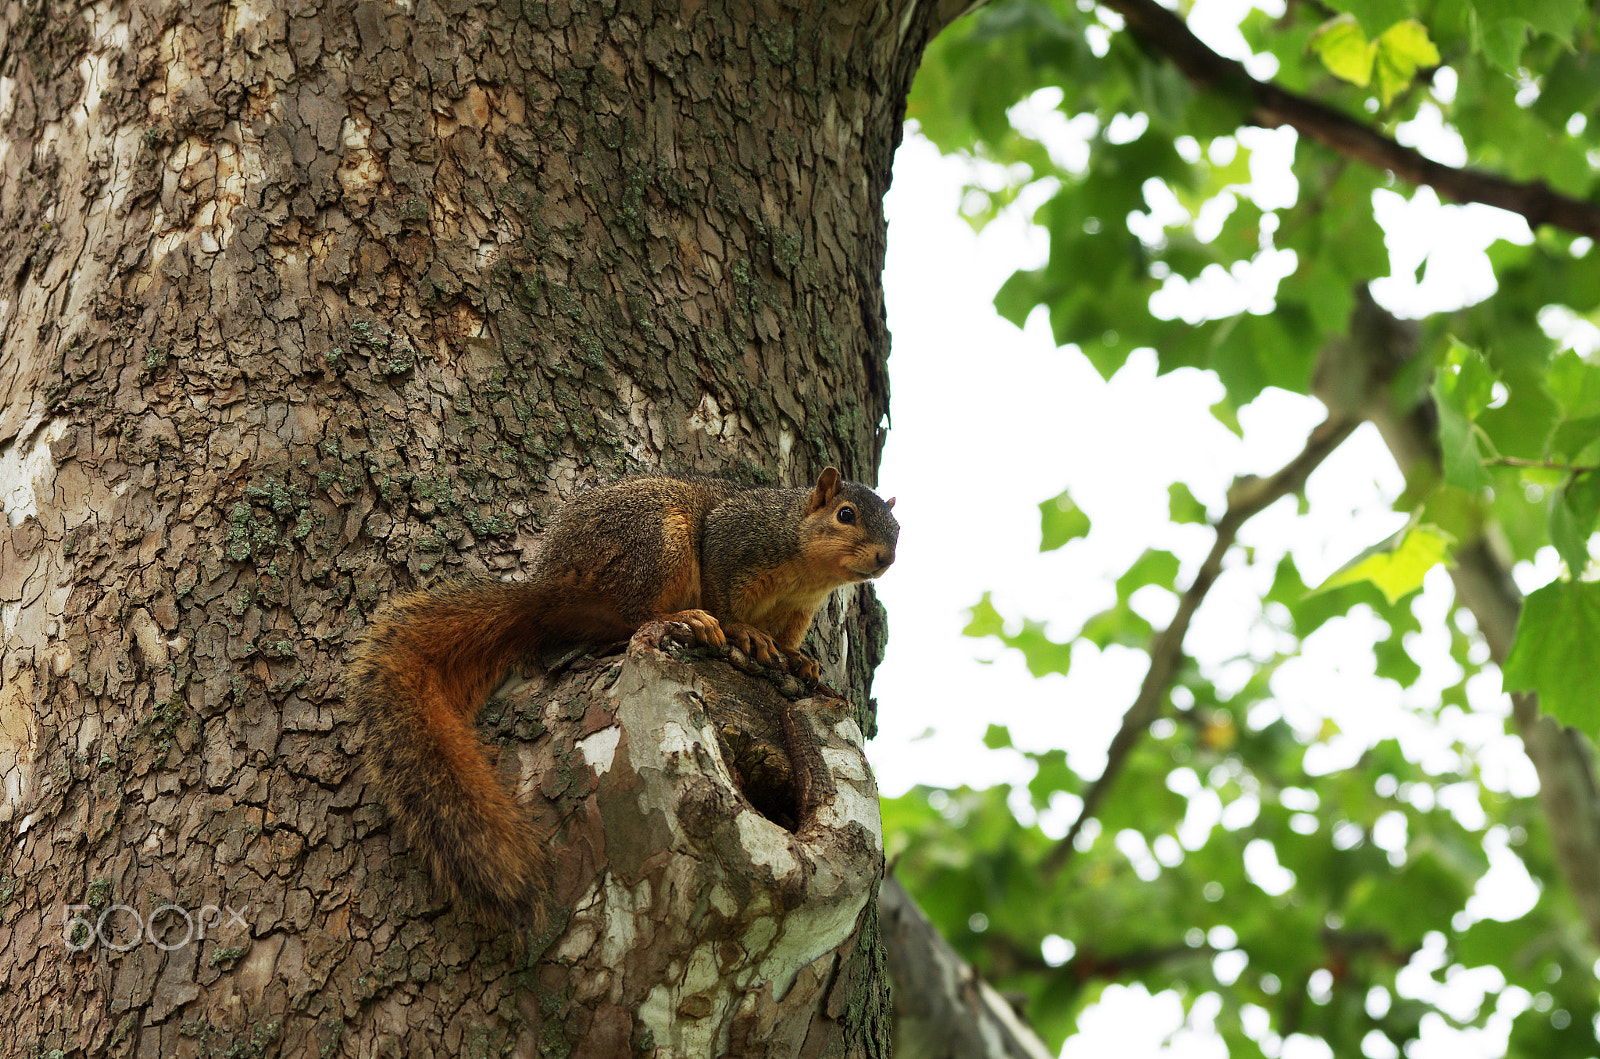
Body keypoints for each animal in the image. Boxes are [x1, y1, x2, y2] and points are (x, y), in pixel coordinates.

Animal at [342, 467, 902, 927]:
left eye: (897, 530)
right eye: (845, 515)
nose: (885, 558)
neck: (805, 568)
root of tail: (548, 592)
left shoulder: (799, 610)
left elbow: (789, 643)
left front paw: (800, 661)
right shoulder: (733, 543)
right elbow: (727, 599)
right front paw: (745, 631)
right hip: (656, 542)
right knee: (637, 614)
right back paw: (686, 618)